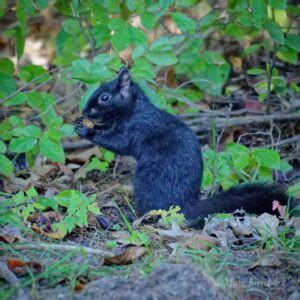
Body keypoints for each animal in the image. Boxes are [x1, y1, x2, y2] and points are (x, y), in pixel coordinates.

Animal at [74, 68, 290, 227]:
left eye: (104, 97)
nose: (84, 110)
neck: (135, 110)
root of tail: (182, 206)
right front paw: (82, 123)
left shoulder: (135, 128)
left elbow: (117, 143)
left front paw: (88, 132)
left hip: (148, 180)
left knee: (153, 211)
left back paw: (129, 215)